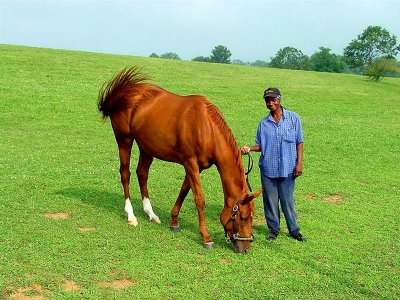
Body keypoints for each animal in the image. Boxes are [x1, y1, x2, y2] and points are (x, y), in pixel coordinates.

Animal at [96, 66, 260, 253]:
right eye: (244, 217)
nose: (245, 247)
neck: (206, 127)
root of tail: (126, 91)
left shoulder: (197, 166)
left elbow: (184, 190)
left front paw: (174, 222)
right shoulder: (190, 163)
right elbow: (199, 199)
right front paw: (206, 237)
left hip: (147, 147)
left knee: (142, 174)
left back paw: (151, 213)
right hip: (124, 140)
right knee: (125, 174)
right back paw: (131, 215)